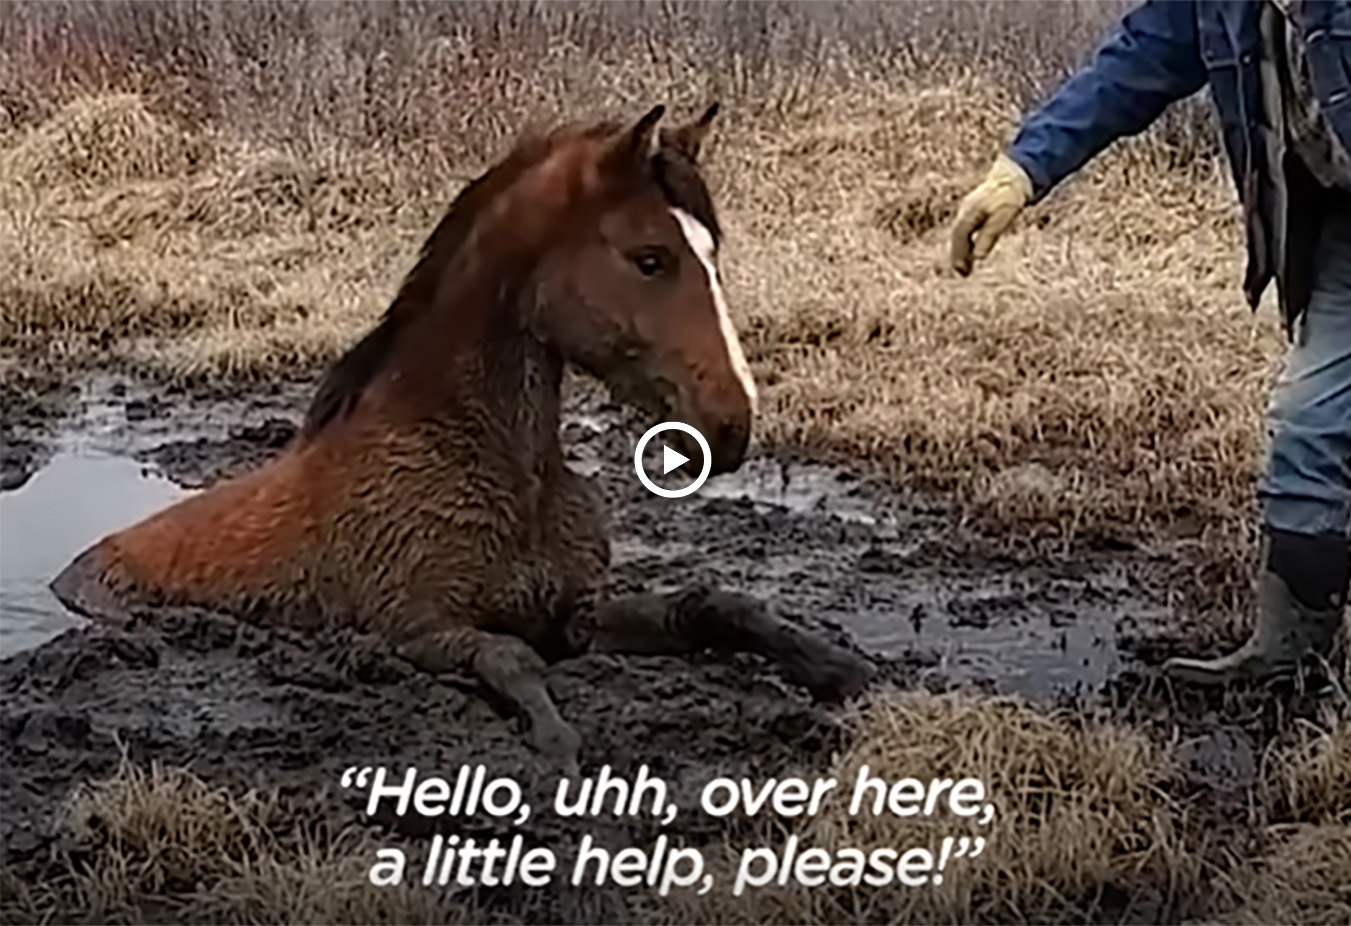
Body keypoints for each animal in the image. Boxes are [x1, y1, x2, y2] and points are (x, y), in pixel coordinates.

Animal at [49, 104, 875, 767]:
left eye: (713, 251)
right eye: (650, 258)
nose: (731, 424)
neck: (488, 461)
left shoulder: (573, 617)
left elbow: (712, 606)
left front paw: (841, 670)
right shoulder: (414, 628)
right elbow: (509, 659)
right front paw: (555, 742)